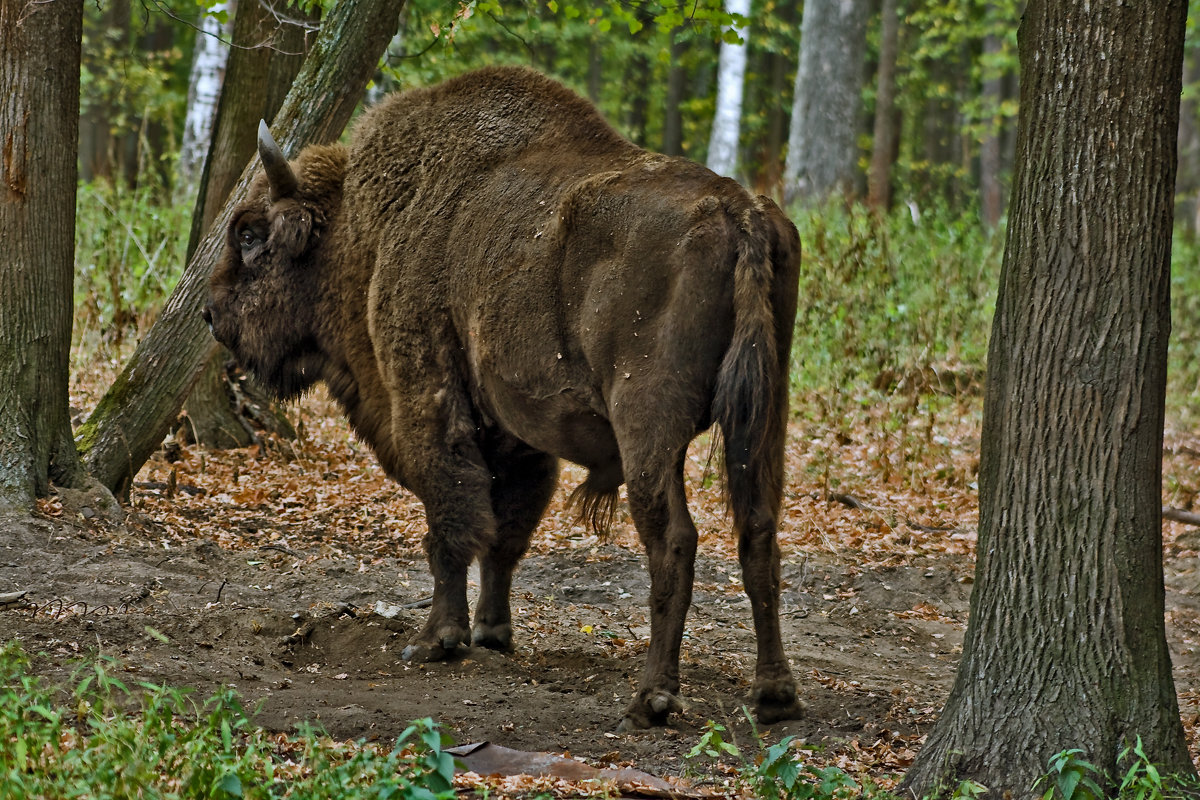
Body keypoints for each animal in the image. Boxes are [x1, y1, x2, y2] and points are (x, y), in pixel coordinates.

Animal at [205, 67, 801, 734]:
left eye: (250, 234)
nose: (211, 313)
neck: (364, 228)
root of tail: (739, 211)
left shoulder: (427, 398)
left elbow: (452, 522)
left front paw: (437, 640)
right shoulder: (517, 432)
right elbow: (506, 530)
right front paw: (493, 633)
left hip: (648, 425)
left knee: (673, 540)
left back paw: (651, 698)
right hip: (763, 417)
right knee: (759, 531)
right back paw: (775, 695)